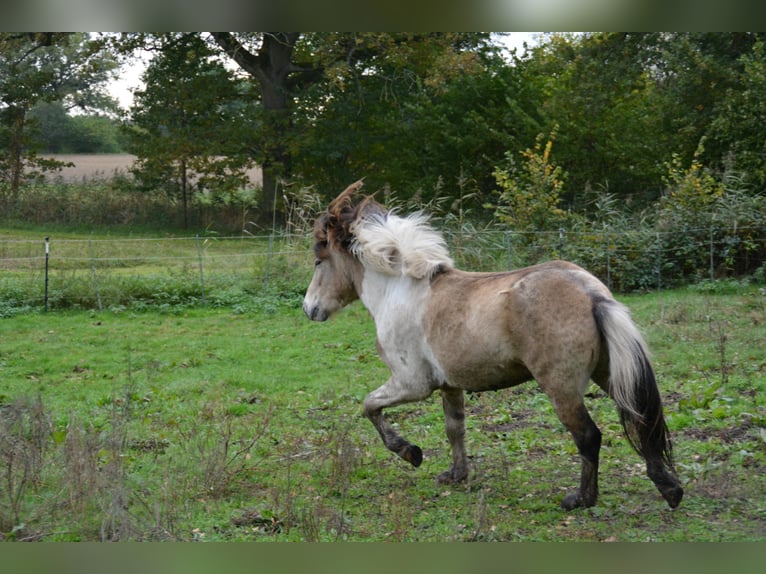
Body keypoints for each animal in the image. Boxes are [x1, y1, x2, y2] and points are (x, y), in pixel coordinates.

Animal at [302, 180, 683, 510]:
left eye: (319, 261)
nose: (309, 309)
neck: (400, 291)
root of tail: (591, 293)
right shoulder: (449, 385)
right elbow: (454, 428)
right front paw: (456, 475)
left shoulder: (412, 384)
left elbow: (369, 406)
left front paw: (410, 452)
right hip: (609, 373)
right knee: (640, 420)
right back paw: (670, 489)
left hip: (561, 387)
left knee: (589, 436)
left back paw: (581, 499)